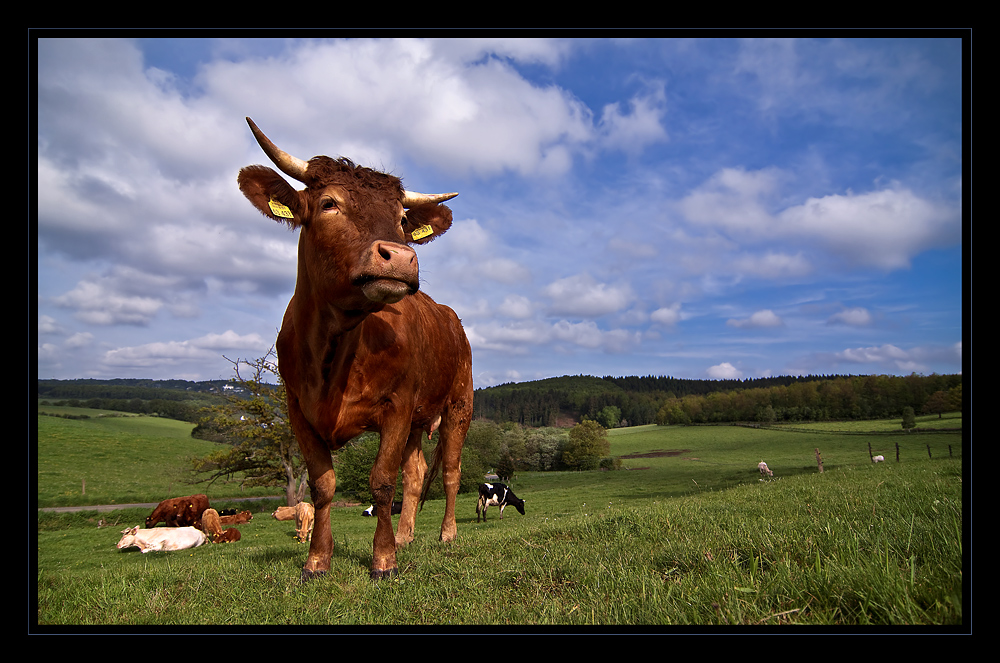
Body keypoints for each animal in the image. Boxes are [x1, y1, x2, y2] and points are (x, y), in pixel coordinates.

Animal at [237, 119, 472, 580]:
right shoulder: (298, 410)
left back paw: (447, 534)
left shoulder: (397, 405)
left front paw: (383, 560)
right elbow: (322, 484)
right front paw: (316, 561)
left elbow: (381, 481)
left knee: (450, 472)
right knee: (416, 472)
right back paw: (406, 536)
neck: (335, 348)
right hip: (420, 419)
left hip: (458, 404)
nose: (401, 257)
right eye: (329, 203)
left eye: (402, 218)